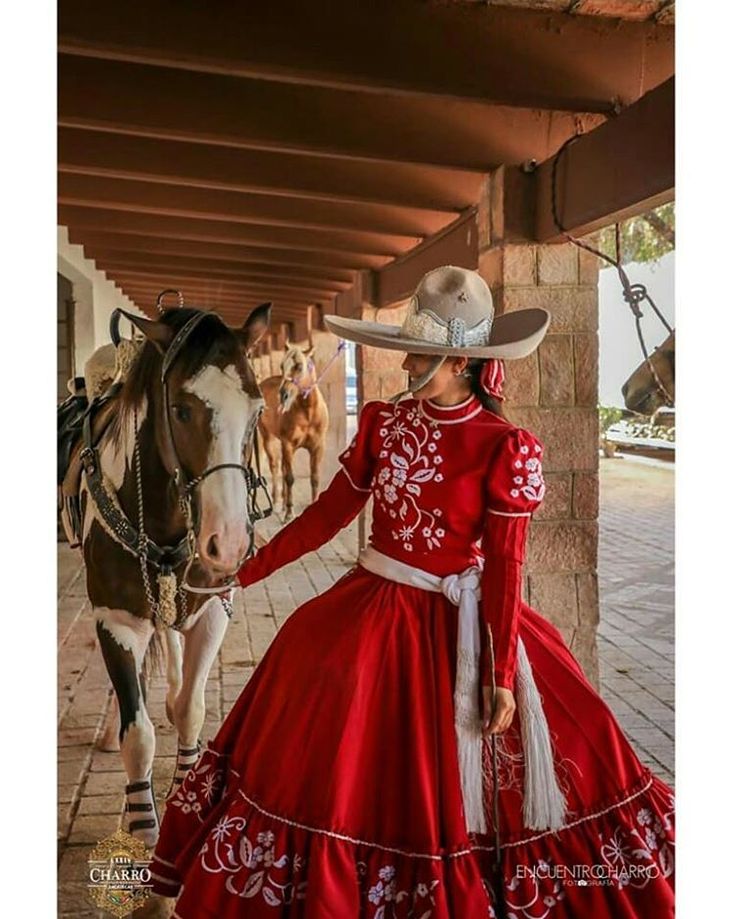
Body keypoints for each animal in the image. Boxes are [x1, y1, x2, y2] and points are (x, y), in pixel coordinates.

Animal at [63, 304, 268, 848]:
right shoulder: (115, 621)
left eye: (257, 409)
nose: (229, 543)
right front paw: (144, 828)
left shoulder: (211, 611)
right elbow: (139, 734)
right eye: (180, 409)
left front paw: (186, 791)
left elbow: (192, 708)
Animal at [258, 342, 328, 520]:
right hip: (268, 438)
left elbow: (315, 478)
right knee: (275, 467)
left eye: (299, 366)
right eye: (282, 366)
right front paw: (289, 513)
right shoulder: (288, 444)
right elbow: (289, 477)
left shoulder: (317, 447)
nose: (283, 395)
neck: (308, 412)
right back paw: (277, 503)